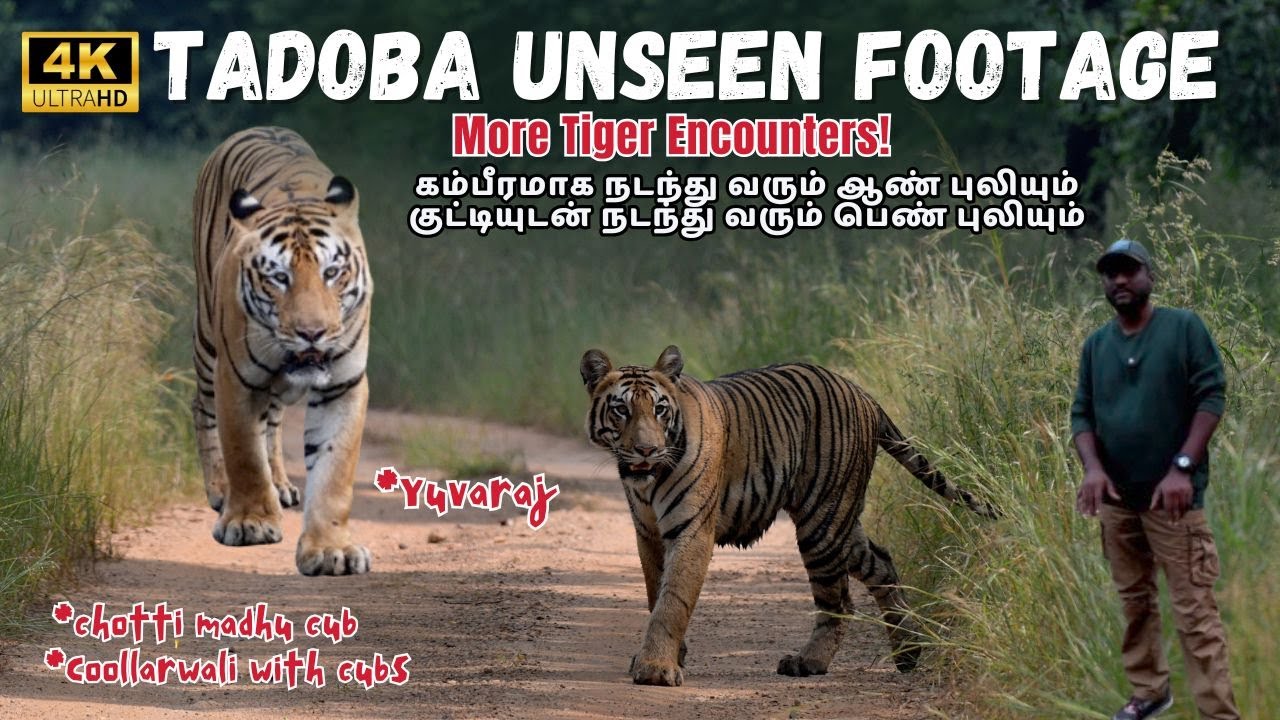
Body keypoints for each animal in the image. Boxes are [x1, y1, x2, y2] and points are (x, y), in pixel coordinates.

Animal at [191, 126, 373, 576]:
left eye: (332, 272)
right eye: (278, 277)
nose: (312, 332)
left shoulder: (344, 384)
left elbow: (334, 470)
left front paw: (331, 550)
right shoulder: (236, 377)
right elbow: (243, 451)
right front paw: (250, 522)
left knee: (271, 423)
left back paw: (282, 485)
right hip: (206, 339)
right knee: (202, 410)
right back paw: (220, 489)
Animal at [580, 345, 995, 686]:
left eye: (659, 409)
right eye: (621, 410)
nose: (647, 450)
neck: (648, 482)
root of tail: (862, 393)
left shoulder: (690, 530)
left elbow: (673, 602)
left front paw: (656, 669)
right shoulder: (647, 532)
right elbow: (656, 594)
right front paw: (667, 658)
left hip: (823, 522)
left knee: (837, 602)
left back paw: (809, 662)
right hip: (841, 523)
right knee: (882, 564)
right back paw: (908, 652)